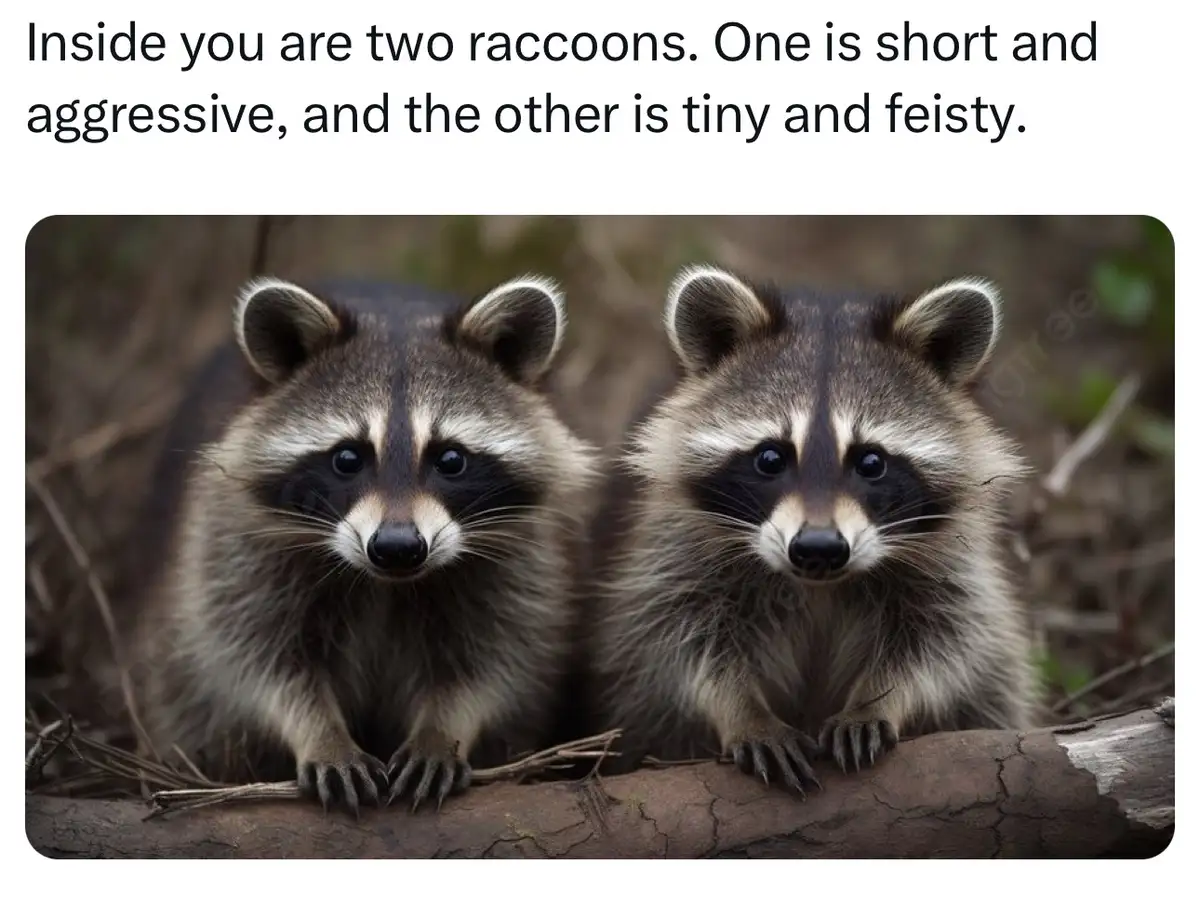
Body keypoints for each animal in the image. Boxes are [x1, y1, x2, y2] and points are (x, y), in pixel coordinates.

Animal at [130, 274, 597, 814]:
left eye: (450, 459)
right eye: (348, 458)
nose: (396, 547)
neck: (386, 584)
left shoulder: (525, 552)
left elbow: (498, 658)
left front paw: (442, 731)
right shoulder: (236, 540)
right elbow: (254, 657)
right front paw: (320, 733)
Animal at [587, 265, 1037, 793]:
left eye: (871, 462)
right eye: (770, 458)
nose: (819, 548)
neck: (818, 586)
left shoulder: (950, 562)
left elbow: (947, 641)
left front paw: (875, 699)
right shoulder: (673, 543)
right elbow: (676, 640)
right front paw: (746, 712)